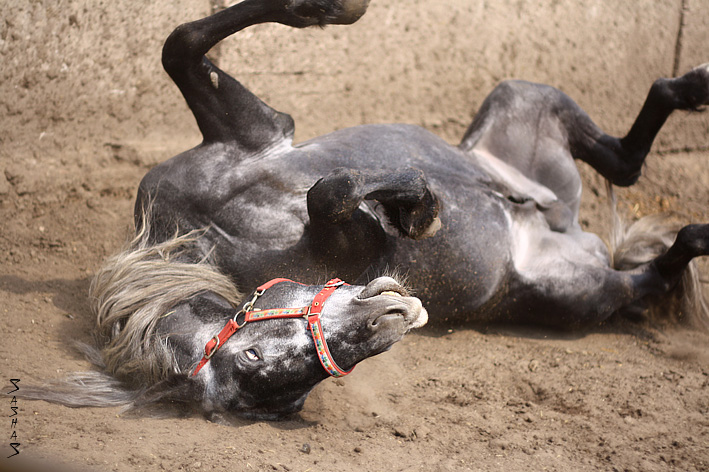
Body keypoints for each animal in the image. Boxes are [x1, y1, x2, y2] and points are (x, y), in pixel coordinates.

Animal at [19, 0, 704, 420]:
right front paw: (420, 209)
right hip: (584, 295)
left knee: (624, 161)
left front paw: (328, 9)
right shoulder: (358, 246)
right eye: (261, 374)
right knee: (656, 253)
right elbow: (335, 192)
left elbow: (179, 43)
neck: (213, 225)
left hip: (523, 98)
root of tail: (569, 229)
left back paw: (692, 84)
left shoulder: (256, 131)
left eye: (249, 354)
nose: (385, 321)